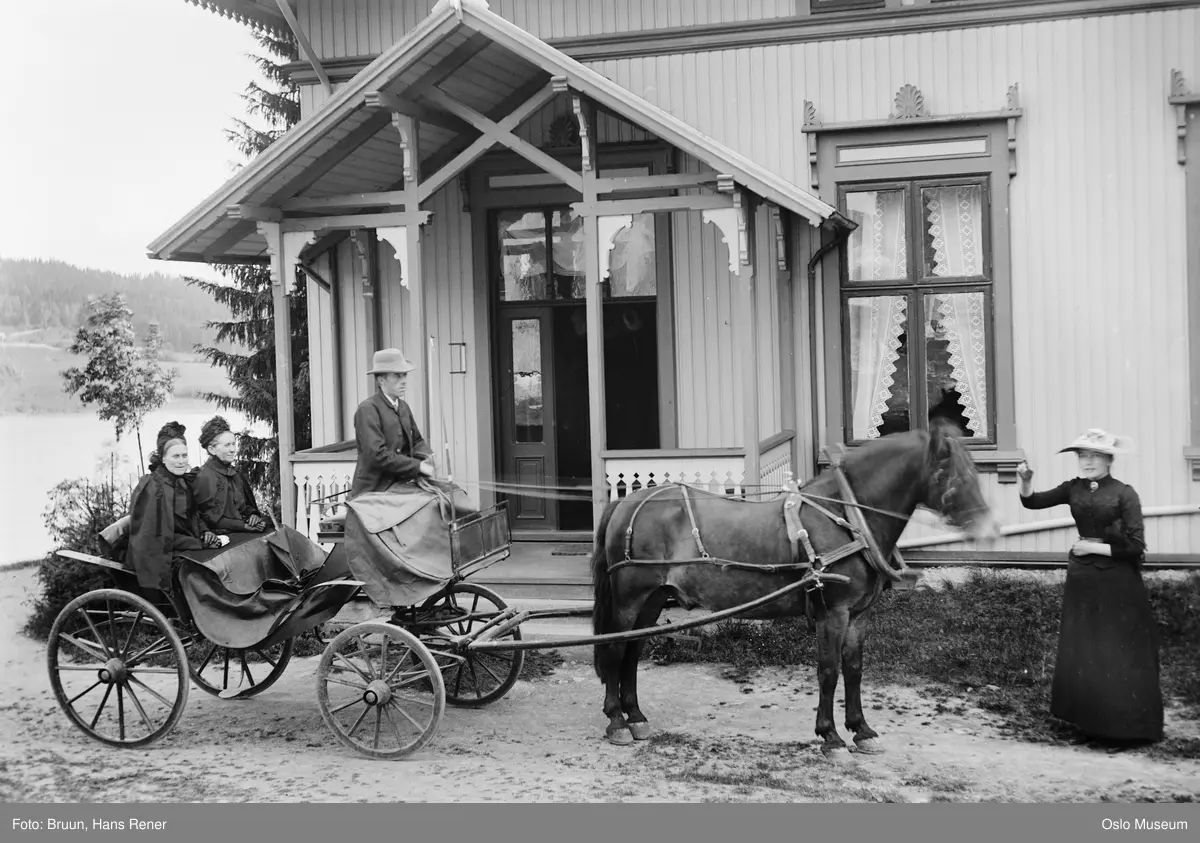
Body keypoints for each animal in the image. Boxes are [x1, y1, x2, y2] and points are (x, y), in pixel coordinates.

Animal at [592, 422, 1003, 758]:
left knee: (632, 654)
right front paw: (831, 737)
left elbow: (854, 669)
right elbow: (828, 670)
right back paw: (617, 721)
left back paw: (636, 716)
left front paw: (861, 730)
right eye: (951, 472)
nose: (989, 527)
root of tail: (625, 501)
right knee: (614, 652)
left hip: (652, 600)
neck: (847, 519)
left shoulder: (860, 614)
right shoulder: (832, 613)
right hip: (630, 600)